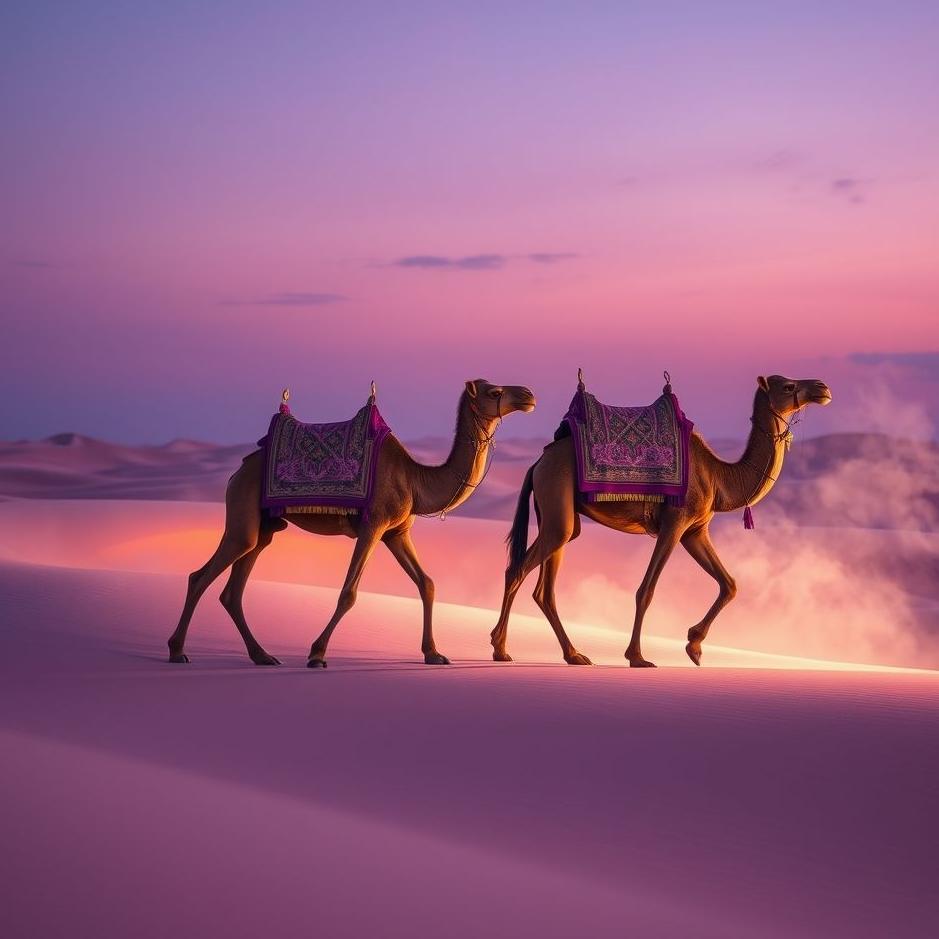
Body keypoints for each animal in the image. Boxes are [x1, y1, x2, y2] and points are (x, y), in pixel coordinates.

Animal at [167, 379, 536, 667]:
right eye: (494, 391)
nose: (528, 394)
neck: (414, 479)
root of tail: (237, 470)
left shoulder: (397, 532)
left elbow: (427, 583)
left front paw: (434, 653)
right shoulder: (373, 525)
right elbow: (349, 592)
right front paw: (317, 654)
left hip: (265, 529)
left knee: (234, 590)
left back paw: (263, 656)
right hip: (242, 514)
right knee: (201, 575)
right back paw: (177, 651)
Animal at [490, 374, 832, 667]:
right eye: (788, 386)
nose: (822, 387)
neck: (718, 476)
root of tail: (537, 462)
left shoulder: (695, 531)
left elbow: (729, 584)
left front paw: (694, 646)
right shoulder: (675, 523)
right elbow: (647, 590)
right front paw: (637, 657)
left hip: (559, 518)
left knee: (544, 588)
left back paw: (574, 655)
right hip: (556, 498)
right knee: (516, 570)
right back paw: (500, 649)